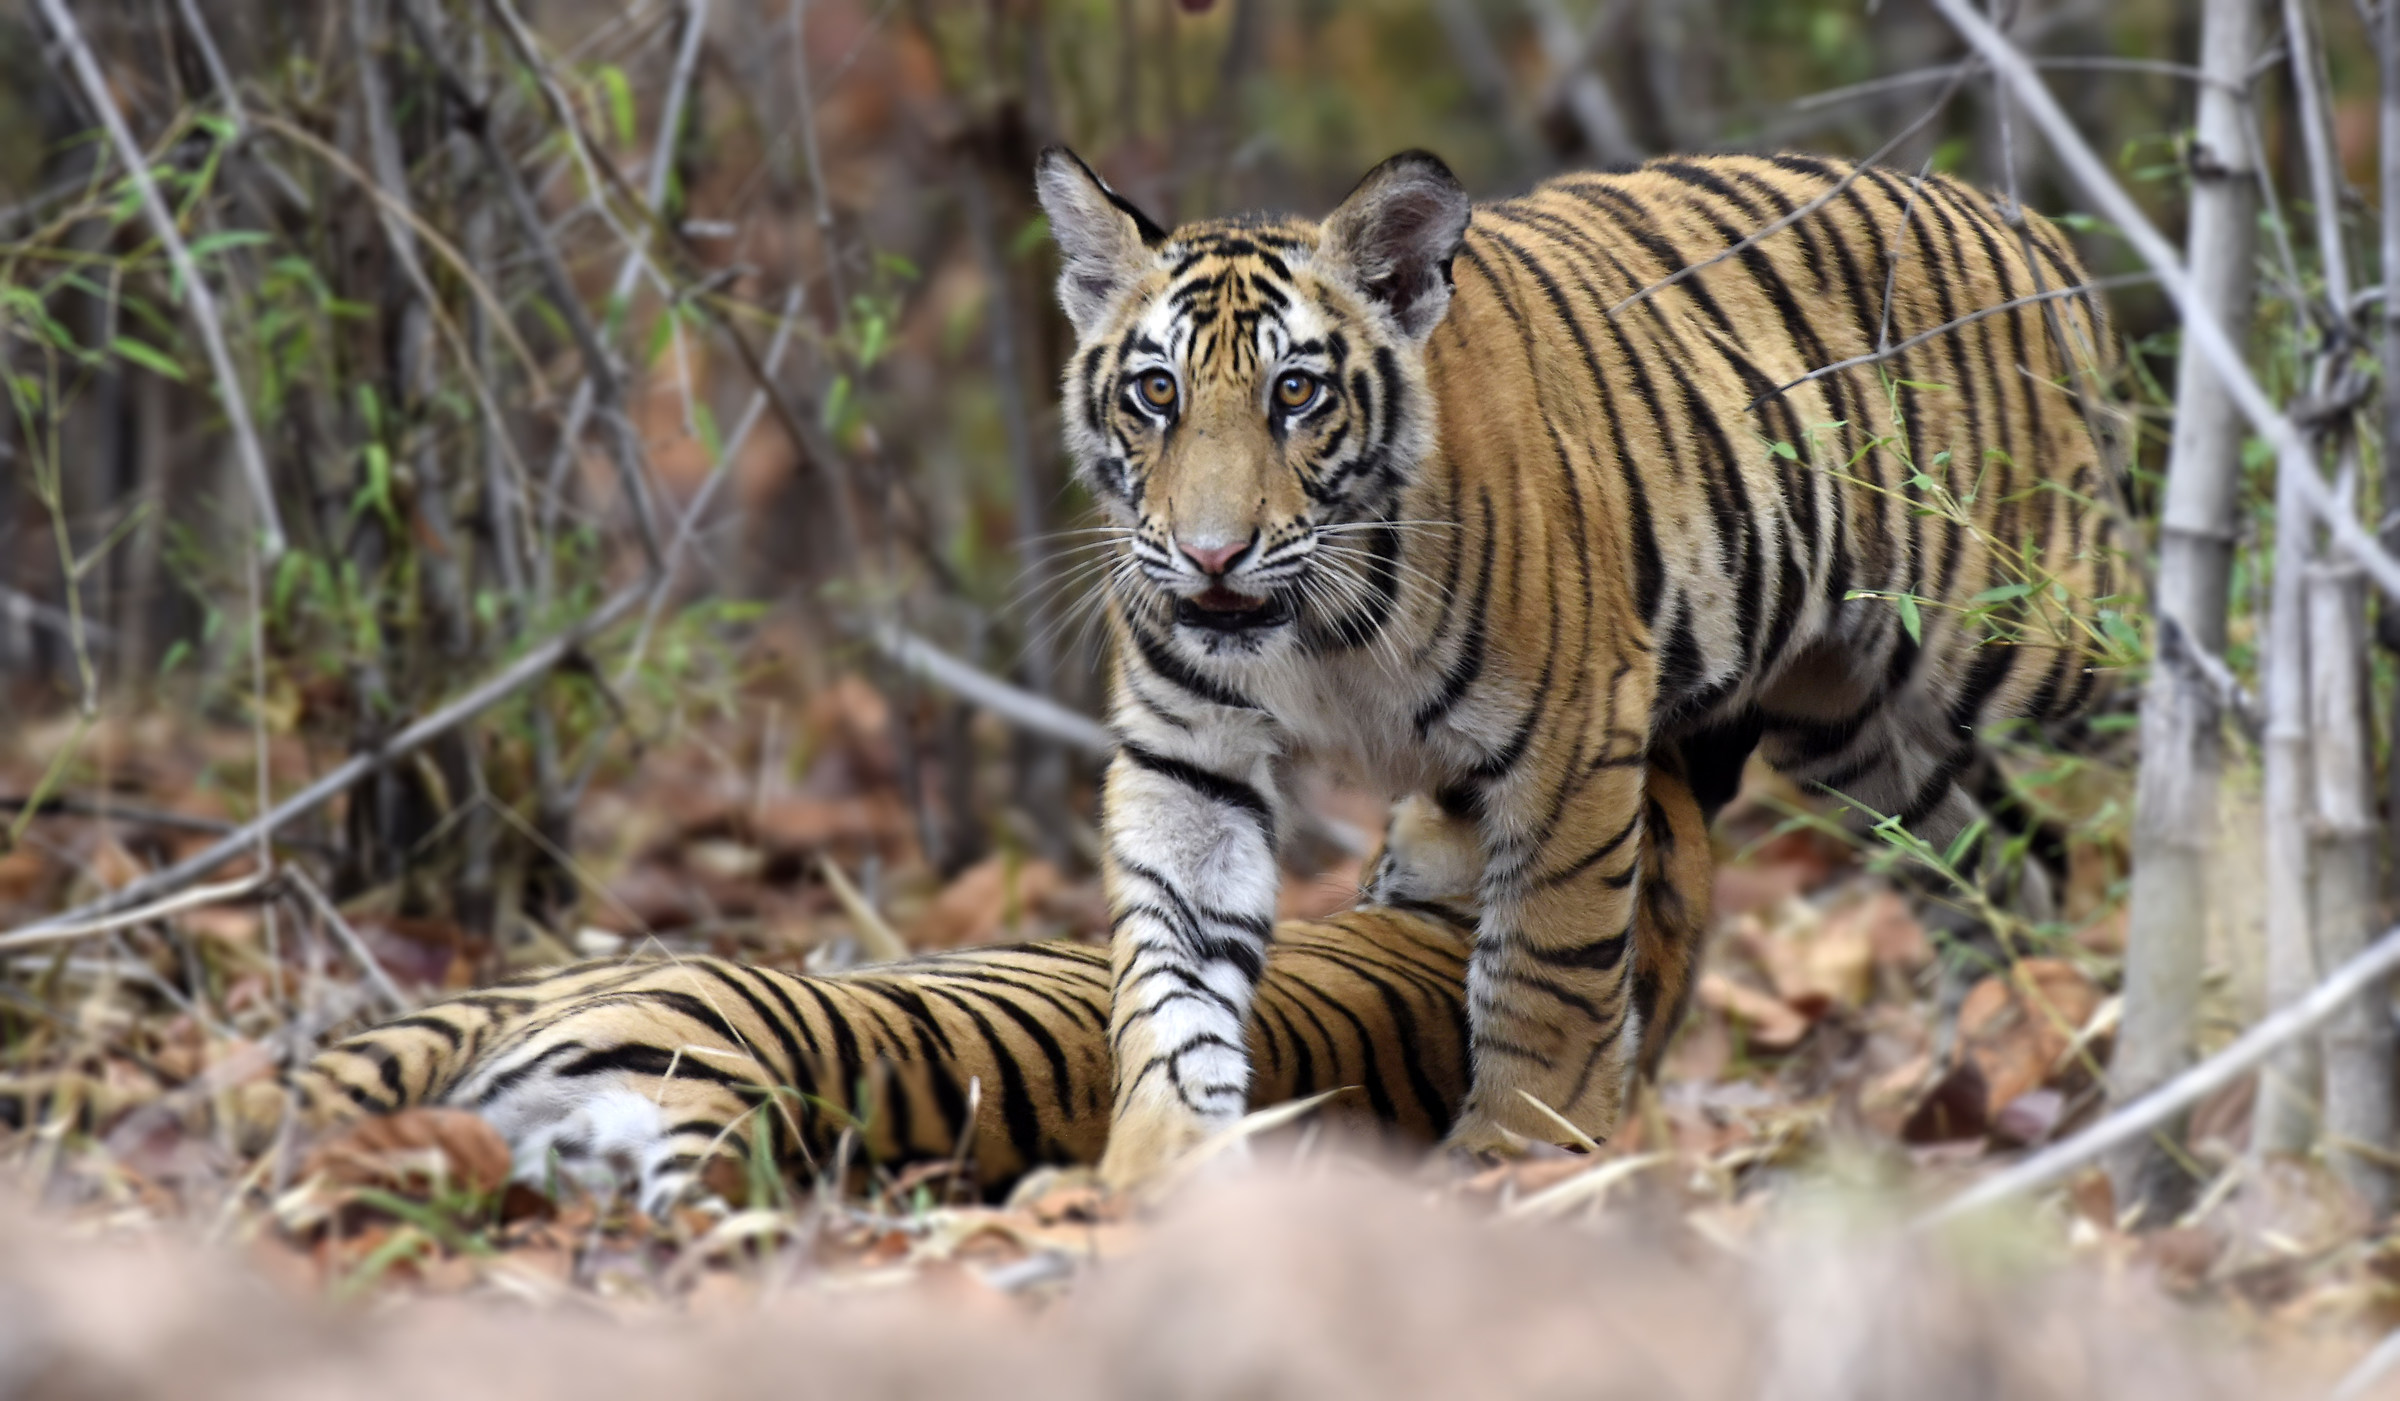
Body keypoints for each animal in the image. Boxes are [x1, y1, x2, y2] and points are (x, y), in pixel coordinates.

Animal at [1033, 145, 2115, 1184]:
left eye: (1295, 392)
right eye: (1156, 393)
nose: (1212, 555)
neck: (1316, 636)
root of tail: (2021, 221)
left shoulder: (1570, 732)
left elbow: (1548, 961)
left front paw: (1517, 1149)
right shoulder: (1189, 760)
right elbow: (1170, 971)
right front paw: (1157, 1162)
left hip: (2028, 633)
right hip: (1846, 727)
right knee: (2000, 871)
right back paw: (1978, 1074)